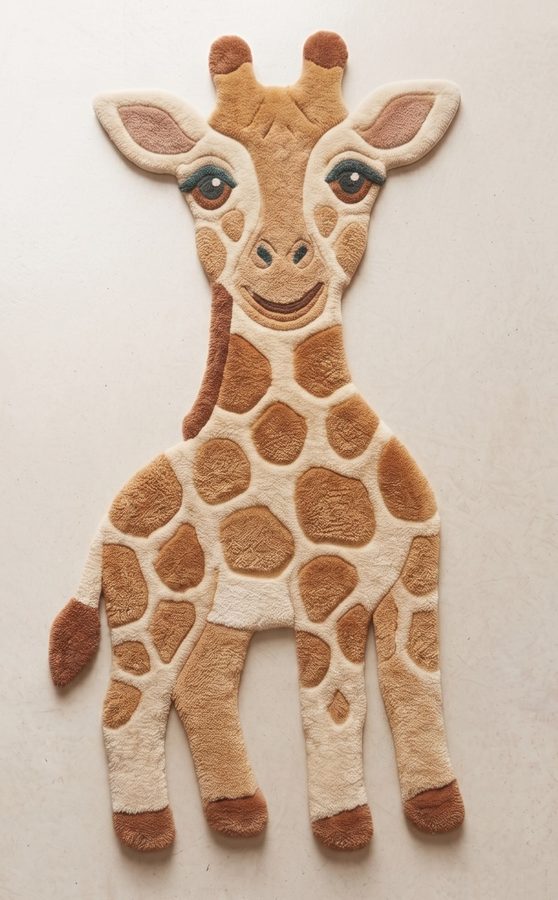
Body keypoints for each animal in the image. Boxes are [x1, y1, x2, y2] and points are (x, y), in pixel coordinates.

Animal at [49, 32, 464, 854]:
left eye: (353, 176)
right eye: (208, 184)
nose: (281, 259)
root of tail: (106, 527)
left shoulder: (414, 580)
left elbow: (416, 688)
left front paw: (439, 808)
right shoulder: (328, 592)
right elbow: (335, 706)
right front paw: (346, 827)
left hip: (222, 612)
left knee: (199, 685)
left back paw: (237, 812)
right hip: (155, 605)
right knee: (128, 707)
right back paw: (150, 827)